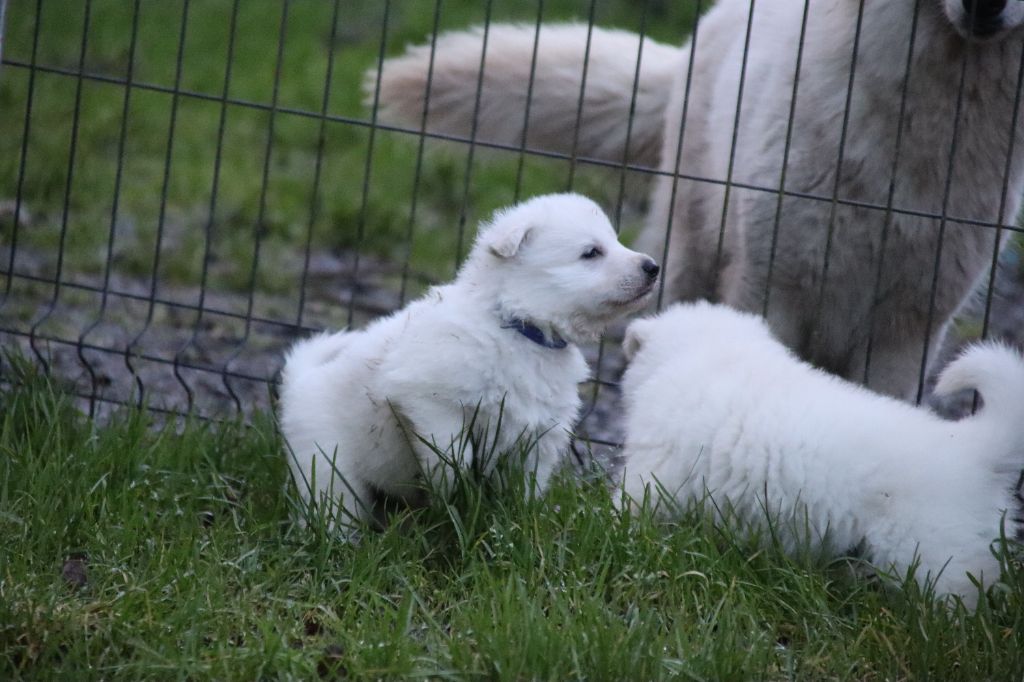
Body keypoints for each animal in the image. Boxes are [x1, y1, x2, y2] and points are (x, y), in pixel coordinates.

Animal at [280, 191, 659, 532]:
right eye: (591, 252)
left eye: (616, 241)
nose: (653, 267)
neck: (516, 326)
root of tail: (299, 382)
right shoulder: (428, 397)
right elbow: (452, 455)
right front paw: (453, 494)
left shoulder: (540, 432)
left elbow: (528, 484)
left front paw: (518, 521)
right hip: (325, 461)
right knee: (334, 503)